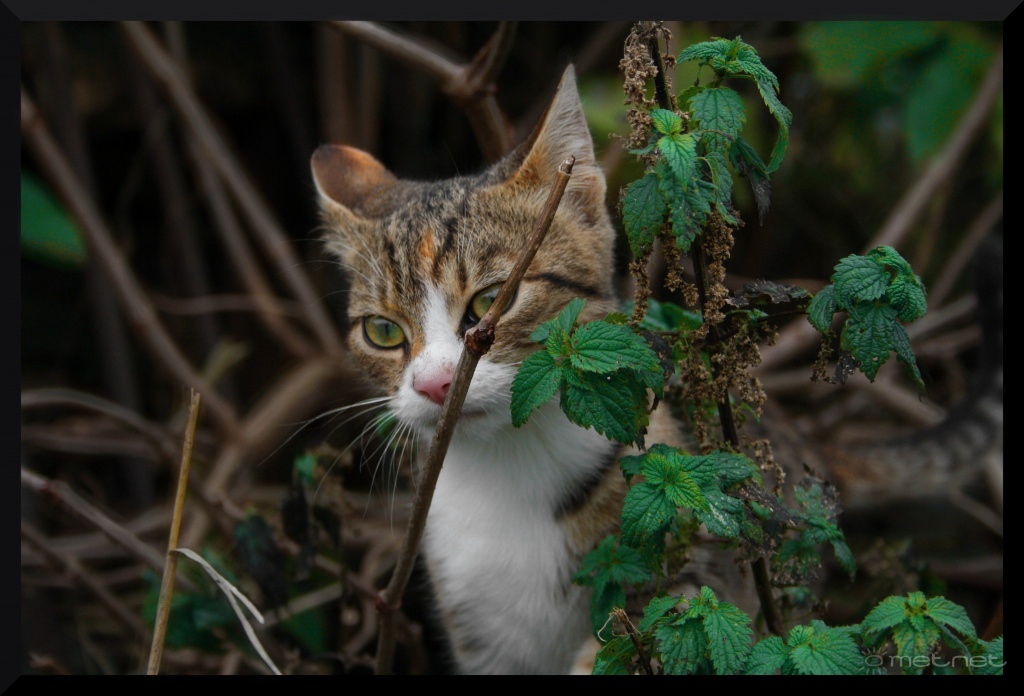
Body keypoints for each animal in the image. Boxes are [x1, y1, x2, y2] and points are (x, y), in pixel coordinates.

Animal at [311, 66, 1002, 674]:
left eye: (491, 301)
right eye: (382, 332)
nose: (433, 384)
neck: (507, 468)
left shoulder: (688, 570)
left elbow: (664, 638)